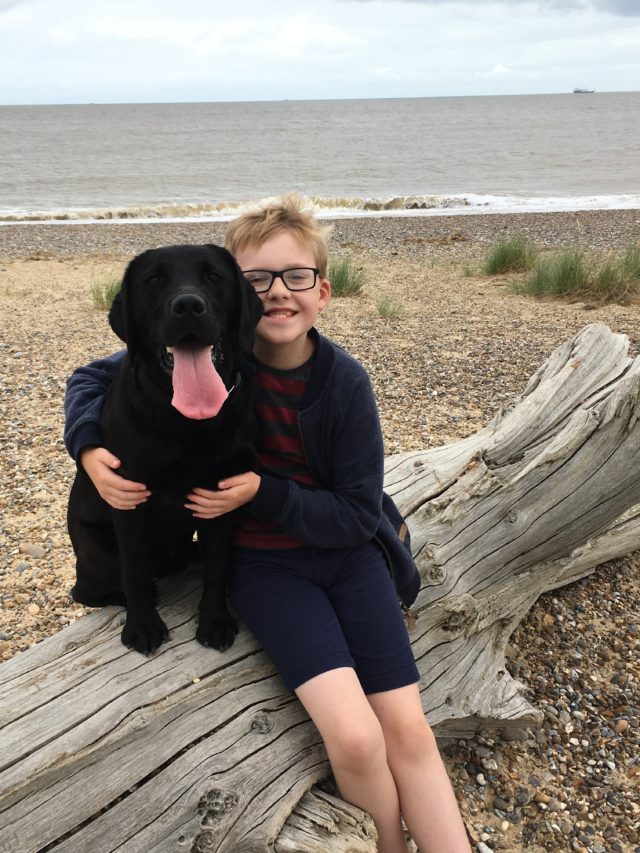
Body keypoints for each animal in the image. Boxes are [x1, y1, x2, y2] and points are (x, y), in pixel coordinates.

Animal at [66, 243, 262, 656]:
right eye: (153, 280)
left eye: (214, 277)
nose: (188, 305)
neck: (187, 422)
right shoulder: (128, 500)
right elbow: (135, 569)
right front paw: (142, 625)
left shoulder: (219, 497)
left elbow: (217, 566)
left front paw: (215, 621)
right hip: (97, 556)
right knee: (90, 591)